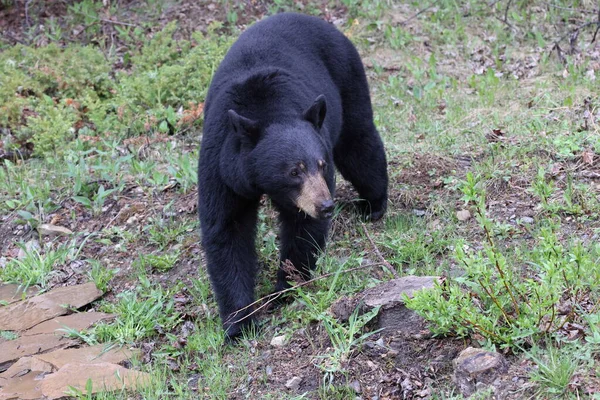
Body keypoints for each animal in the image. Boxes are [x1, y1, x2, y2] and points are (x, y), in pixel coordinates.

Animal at [199, 12, 390, 340]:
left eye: (321, 164)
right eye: (293, 171)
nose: (326, 206)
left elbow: (302, 228)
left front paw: (285, 288)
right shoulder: (221, 165)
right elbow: (227, 229)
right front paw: (240, 323)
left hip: (347, 77)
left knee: (358, 142)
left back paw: (373, 203)